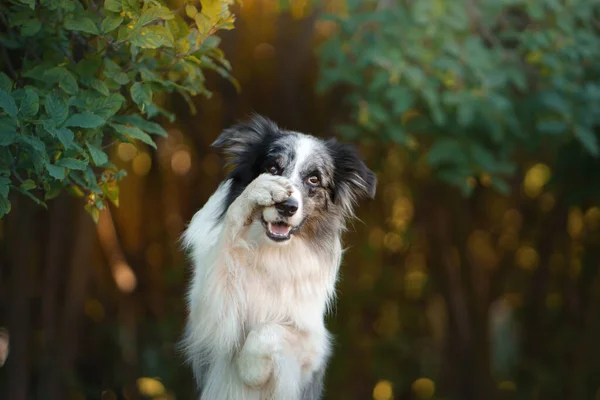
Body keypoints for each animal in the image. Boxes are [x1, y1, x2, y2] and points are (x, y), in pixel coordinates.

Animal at [180, 114, 378, 398]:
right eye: (272, 169)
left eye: (314, 179)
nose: (287, 206)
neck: (271, 250)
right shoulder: (208, 322)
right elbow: (227, 243)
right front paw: (255, 193)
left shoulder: (312, 341)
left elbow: (269, 330)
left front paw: (251, 371)